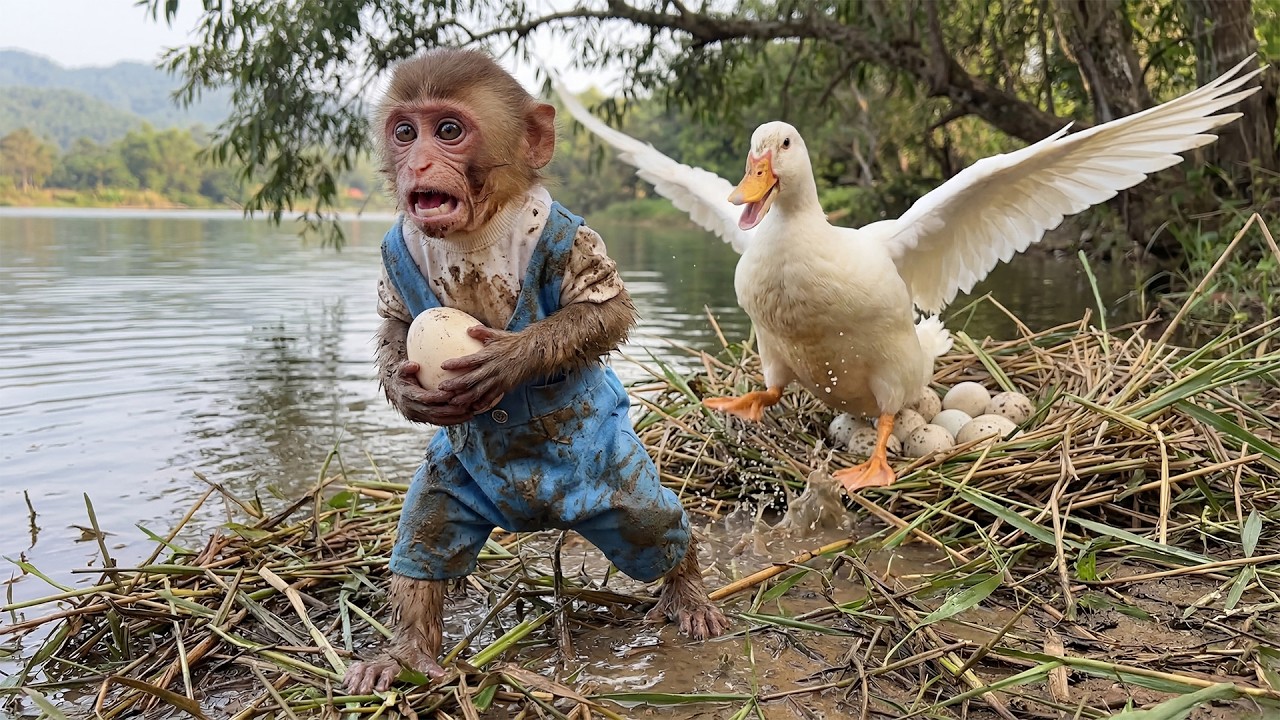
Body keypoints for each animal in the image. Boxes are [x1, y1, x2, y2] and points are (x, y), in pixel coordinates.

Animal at [343, 49, 729, 695]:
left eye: (449, 130)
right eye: (405, 132)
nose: (417, 161)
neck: (480, 230)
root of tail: (536, 518)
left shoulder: (569, 236)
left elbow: (605, 312)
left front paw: (509, 359)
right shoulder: (401, 245)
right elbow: (396, 323)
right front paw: (405, 386)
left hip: (614, 471)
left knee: (653, 526)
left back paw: (689, 592)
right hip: (458, 480)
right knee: (427, 531)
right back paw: (407, 653)